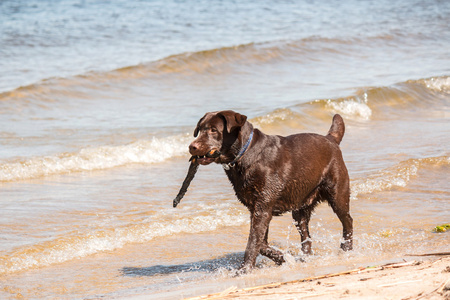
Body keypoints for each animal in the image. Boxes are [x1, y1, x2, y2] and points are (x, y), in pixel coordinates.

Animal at [184, 110, 352, 272]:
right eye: (200, 129)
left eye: (213, 130)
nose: (192, 147)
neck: (246, 154)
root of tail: (330, 139)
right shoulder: (256, 209)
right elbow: (261, 244)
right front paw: (283, 259)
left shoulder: (263, 209)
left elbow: (253, 242)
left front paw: (244, 269)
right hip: (300, 208)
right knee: (306, 235)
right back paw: (305, 258)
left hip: (337, 194)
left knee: (347, 221)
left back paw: (346, 248)